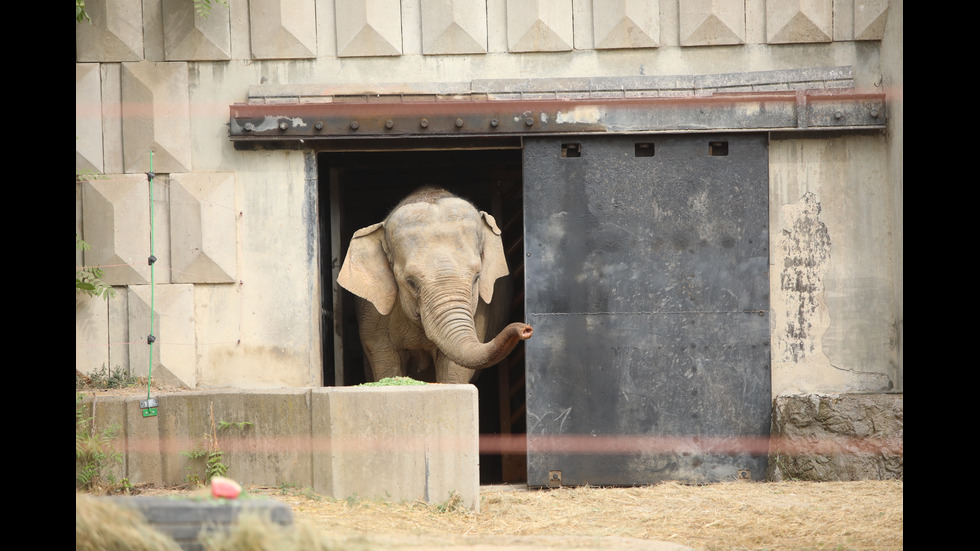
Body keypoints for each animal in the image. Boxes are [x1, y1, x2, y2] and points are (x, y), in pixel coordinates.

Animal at [338, 185, 536, 384]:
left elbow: (454, 369)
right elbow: (385, 358)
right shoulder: (373, 312)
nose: (526, 329)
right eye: (411, 282)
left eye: (476, 277)